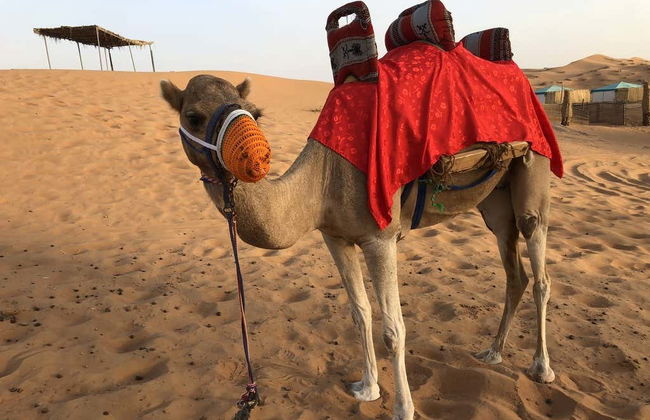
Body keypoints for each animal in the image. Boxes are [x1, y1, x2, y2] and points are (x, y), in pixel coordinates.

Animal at [160, 75, 555, 420]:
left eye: (255, 113)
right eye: (193, 116)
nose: (254, 158)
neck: (321, 181)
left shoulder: (380, 238)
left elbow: (393, 329)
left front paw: (403, 409)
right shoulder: (335, 237)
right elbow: (360, 312)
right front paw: (367, 389)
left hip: (534, 171)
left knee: (539, 270)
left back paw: (541, 367)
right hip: (495, 205)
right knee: (514, 274)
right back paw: (493, 352)